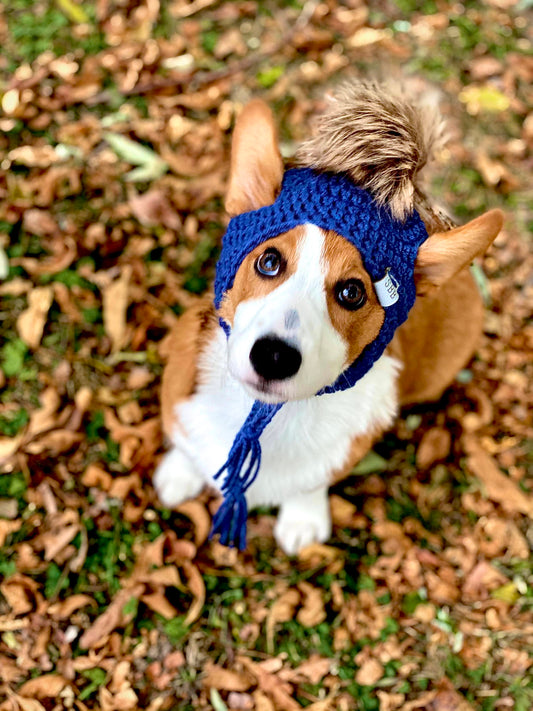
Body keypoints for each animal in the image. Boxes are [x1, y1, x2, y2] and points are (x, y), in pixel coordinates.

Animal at [154, 80, 502, 552]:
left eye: (352, 293)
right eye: (268, 261)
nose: (274, 357)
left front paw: (302, 519)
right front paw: (180, 472)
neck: (265, 415)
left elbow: (312, 482)